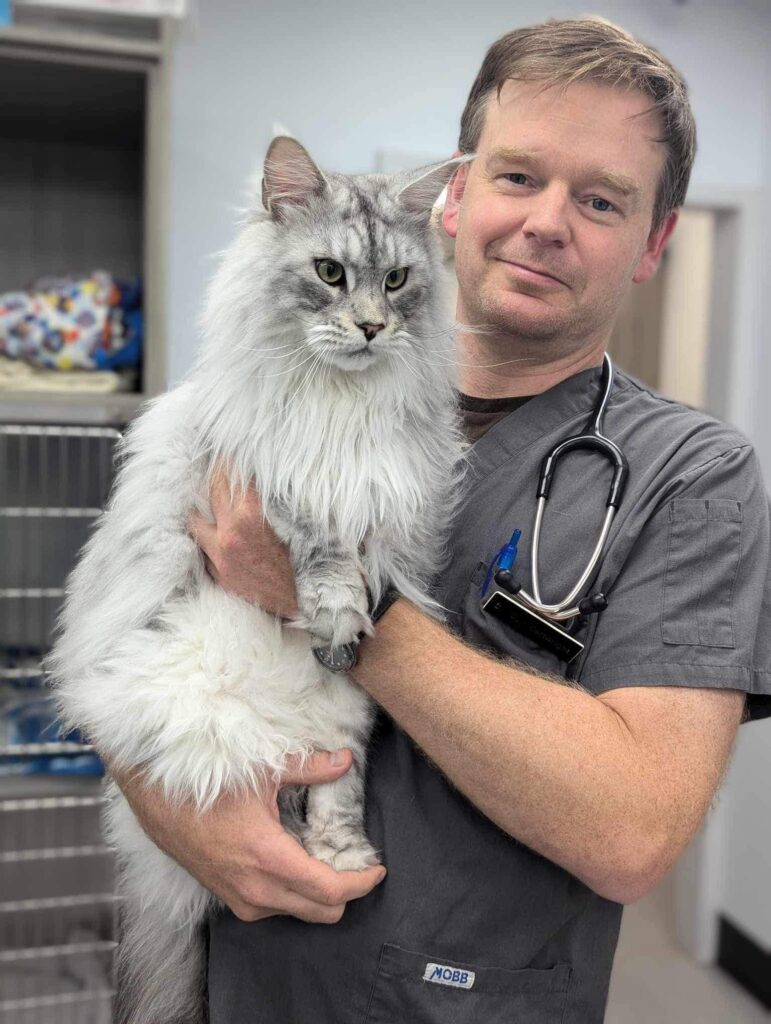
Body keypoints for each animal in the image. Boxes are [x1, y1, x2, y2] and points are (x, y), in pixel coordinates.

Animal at [51, 138, 466, 1024]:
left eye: (397, 281)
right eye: (330, 273)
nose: (371, 326)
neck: (338, 403)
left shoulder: (392, 507)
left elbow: (371, 562)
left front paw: (347, 623)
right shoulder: (269, 479)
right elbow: (323, 549)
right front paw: (335, 612)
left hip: (337, 728)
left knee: (330, 793)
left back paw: (345, 861)